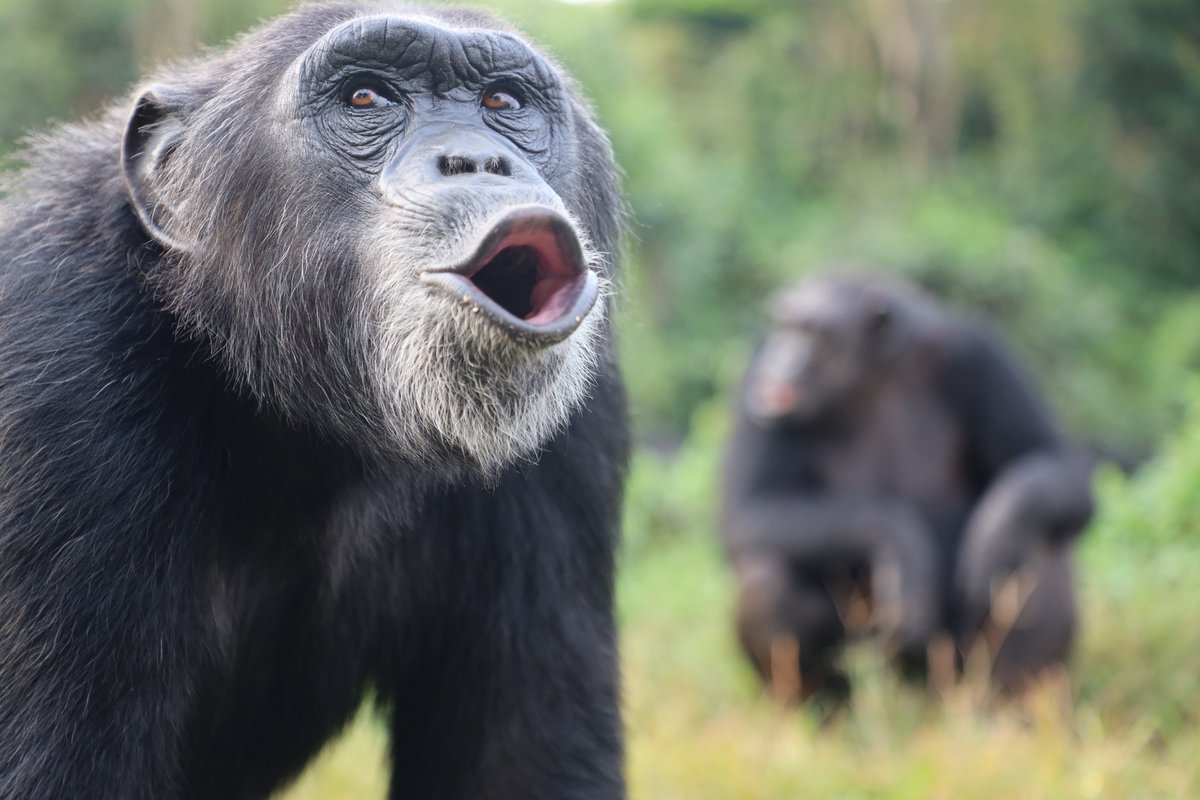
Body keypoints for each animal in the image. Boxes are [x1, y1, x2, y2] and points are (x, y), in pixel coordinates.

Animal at [720, 272, 1099, 705]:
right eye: (784, 327)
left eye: (811, 333)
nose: (782, 355)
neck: (872, 378)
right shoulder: (754, 374)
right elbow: (751, 509)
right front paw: (902, 546)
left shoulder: (980, 356)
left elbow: (1047, 458)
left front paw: (997, 532)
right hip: (871, 663)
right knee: (767, 579)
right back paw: (821, 709)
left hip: (953, 661)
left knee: (1039, 551)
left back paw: (1010, 706)